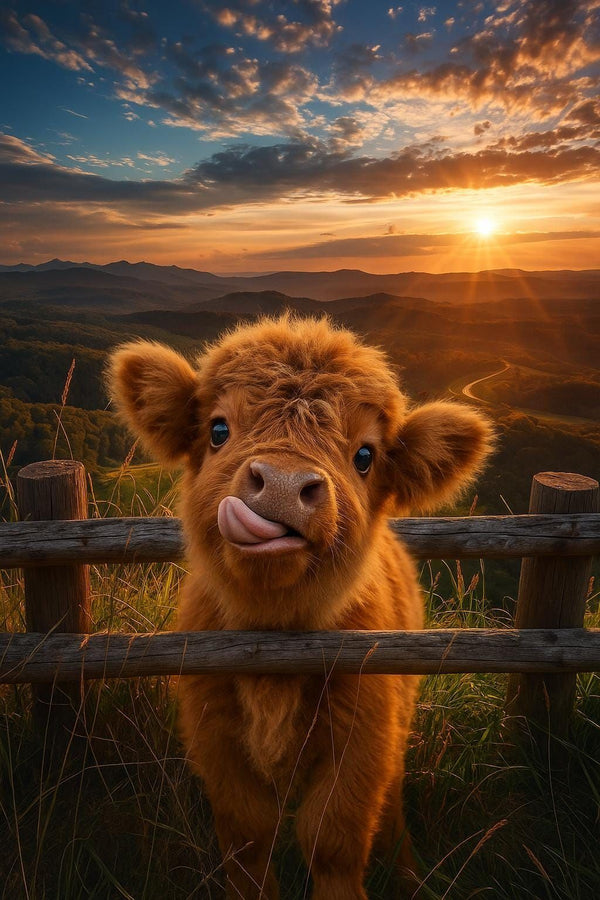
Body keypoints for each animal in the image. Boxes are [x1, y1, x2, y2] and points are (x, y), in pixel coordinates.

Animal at [108, 314, 493, 900]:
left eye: (365, 456)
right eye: (218, 430)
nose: (284, 485)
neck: (274, 650)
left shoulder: (363, 736)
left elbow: (331, 838)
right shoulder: (214, 735)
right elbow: (247, 837)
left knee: (392, 803)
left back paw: (408, 875)